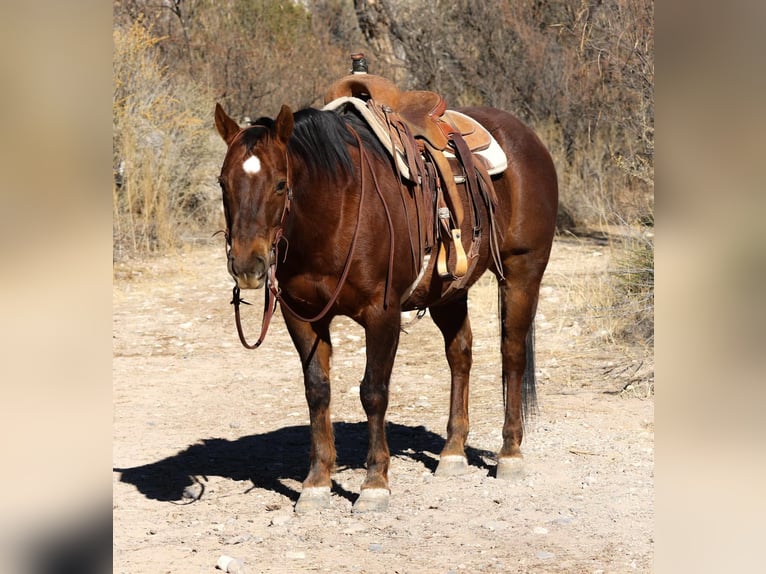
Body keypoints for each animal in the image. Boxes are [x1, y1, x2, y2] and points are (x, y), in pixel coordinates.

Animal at [214, 99, 558, 513]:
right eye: (222, 182)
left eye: (281, 184)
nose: (247, 266)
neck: (335, 209)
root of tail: (528, 137)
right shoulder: (301, 315)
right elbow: (317, 390)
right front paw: (316, 482)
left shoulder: (382, 314)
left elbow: (373, 392)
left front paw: (374, 484)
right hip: (449, 291)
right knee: (460, 355)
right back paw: (453, 452)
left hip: (522, 273)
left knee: (512, 355)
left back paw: (509, 454)